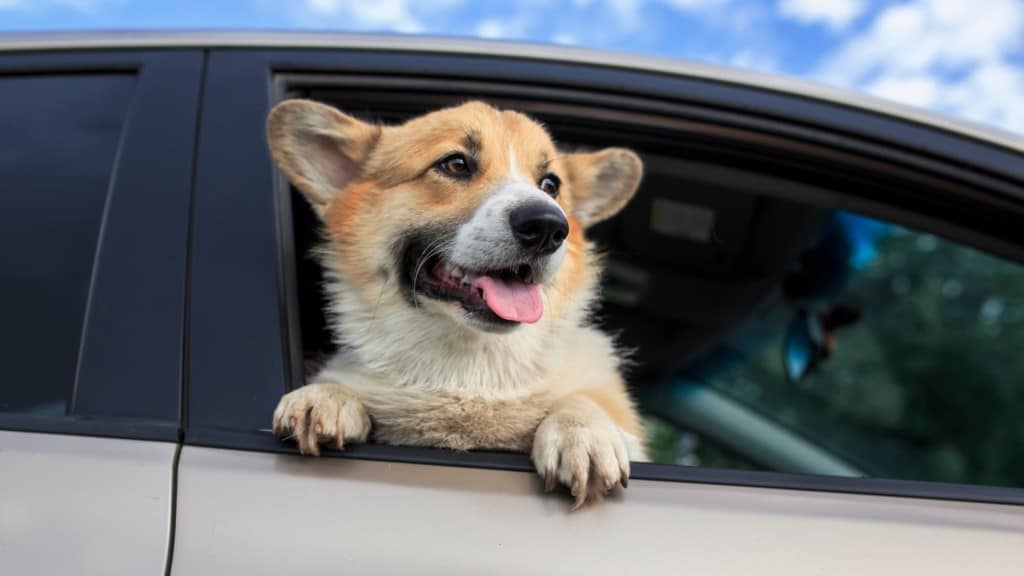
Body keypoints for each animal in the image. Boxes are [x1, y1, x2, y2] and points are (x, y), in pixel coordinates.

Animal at [268, 98, 643, 506]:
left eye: (550, 184)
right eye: (455, 164)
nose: (547, 226)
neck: (469, 369)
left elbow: (581, 401)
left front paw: (582, 431)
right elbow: (341, 386)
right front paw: (326, 397)